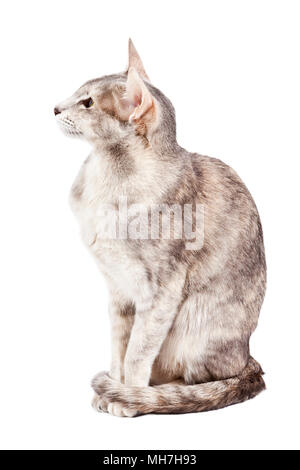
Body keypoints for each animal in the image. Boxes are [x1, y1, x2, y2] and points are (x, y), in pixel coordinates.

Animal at [54, 38, 264, 416]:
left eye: (87, 102)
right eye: (78, 92)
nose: (54, 108)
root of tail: (247, 354)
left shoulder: (161, 291)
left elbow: (137, 352)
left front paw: (129, 397)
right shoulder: (118, 290)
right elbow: (119, 350)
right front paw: (114, 389)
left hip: (198, 331)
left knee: (207, 379)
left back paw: (165, 391)